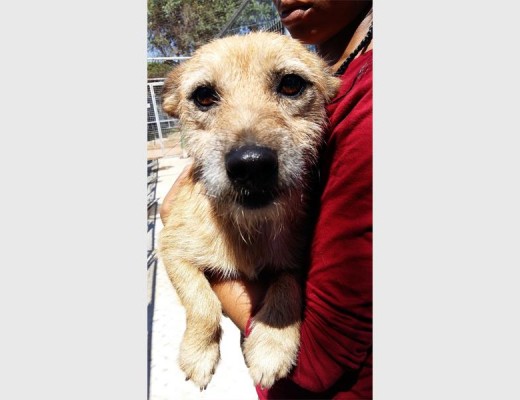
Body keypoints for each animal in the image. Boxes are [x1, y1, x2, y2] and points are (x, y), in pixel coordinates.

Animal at [159, 31, 339, 390]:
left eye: (291, 84)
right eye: (203, 96)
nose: (251, 165)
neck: (250, 229)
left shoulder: (295, 259)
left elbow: (286, 286)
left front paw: (272, 344)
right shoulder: (171, 249)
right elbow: (202, 302)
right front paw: (198, 352)